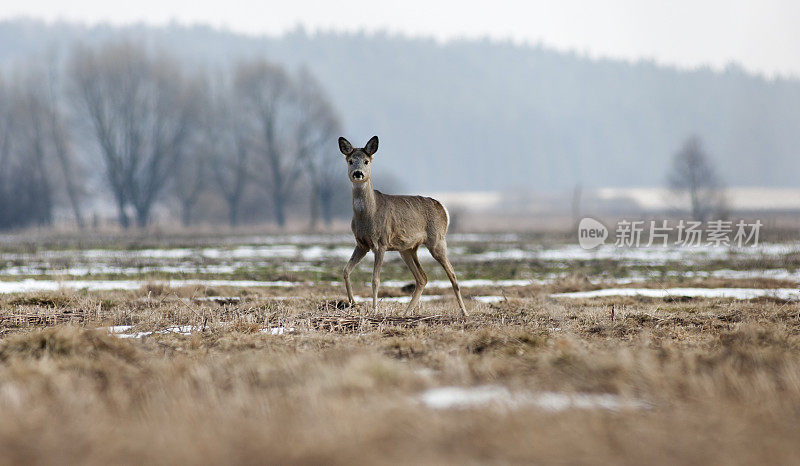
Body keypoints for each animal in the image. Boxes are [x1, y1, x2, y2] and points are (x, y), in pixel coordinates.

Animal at [340, 135, 468, 316]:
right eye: (350, 160)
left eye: (366, 161)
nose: (358, 173)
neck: (368, 215)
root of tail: (443, 208)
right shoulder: (362, 244)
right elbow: (346, 271)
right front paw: (354, 304)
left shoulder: (381, 242)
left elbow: (375, 279)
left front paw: (374, 309)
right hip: (407, 248)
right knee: (422, 278)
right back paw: (406, 312)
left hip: (437, 240)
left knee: (453, 275)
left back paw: (464, 312)